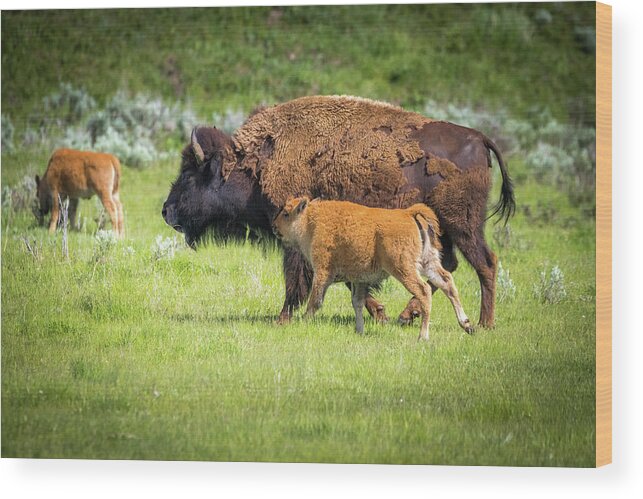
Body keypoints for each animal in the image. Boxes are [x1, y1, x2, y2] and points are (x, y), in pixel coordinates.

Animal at [272, 197, 472, 342]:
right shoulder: (359, 280)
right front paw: (359, 331)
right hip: (427, 262)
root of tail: (408, 214)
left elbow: (315, 301)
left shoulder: (323, 273)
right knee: (447, 282)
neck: (311, 221)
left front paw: (303, 322)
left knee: (424, 290)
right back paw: (467, 325)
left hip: (403, 269)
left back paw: (423, 336)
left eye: (286, 213)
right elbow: (357, 303)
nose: (274, 227)